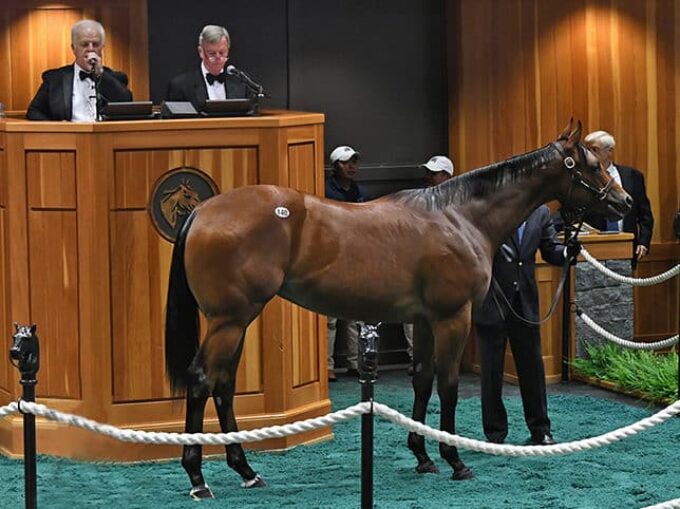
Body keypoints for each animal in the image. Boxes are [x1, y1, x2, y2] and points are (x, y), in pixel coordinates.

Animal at [165, 121, 632, 498]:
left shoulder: (423, 320)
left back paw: (245, 470)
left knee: (224, 385)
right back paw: (197, 478)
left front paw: (422, 456)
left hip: (238, 321)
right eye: (593, 165)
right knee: (202, 380)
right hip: (229, 320)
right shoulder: (452, 318)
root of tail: (202, 211)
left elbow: (421, 381)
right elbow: (448, 386)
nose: (624, 202)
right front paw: (455, 460)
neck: (459, 217)